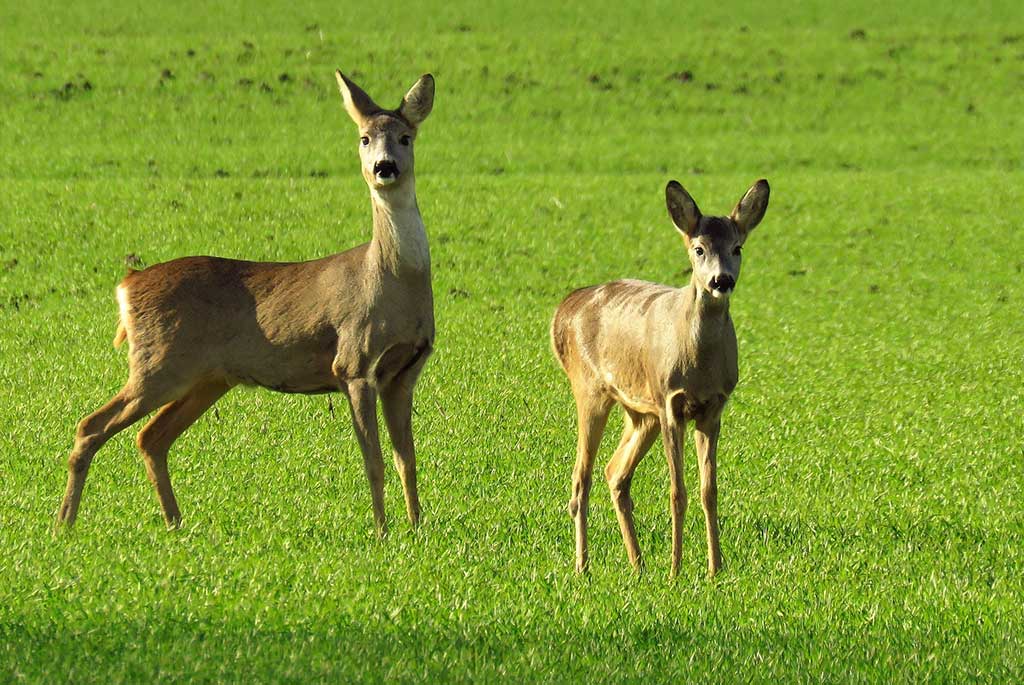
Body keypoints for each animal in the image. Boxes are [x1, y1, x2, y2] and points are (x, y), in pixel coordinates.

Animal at [55, 69, 436, 532]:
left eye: (405, 137)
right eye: (364, 137)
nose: (385, 167)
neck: (391, 280)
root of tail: (127, 285)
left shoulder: (404, 372)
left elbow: (407, 461)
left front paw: (417, 529)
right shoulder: (353, 362)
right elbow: (374, 462)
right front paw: (382, 532)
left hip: (207, 379)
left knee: (151, 437)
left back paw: (175, 524)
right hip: (159, 364)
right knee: (91, 425)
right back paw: (64, 526)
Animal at [552, 178, 770, 577]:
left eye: (737, 247)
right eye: (698, 248)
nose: (721, 280)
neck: (698, 362)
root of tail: (564, 310)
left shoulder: (713, 408)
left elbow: (708, 491)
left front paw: (715, 570)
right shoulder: (670, 402)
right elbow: (677, 492)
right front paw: (676, 570)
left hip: (640, 412)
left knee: (615, 472)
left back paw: (637, 564)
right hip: (591, 389)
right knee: (580, 478)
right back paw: (583, 566)